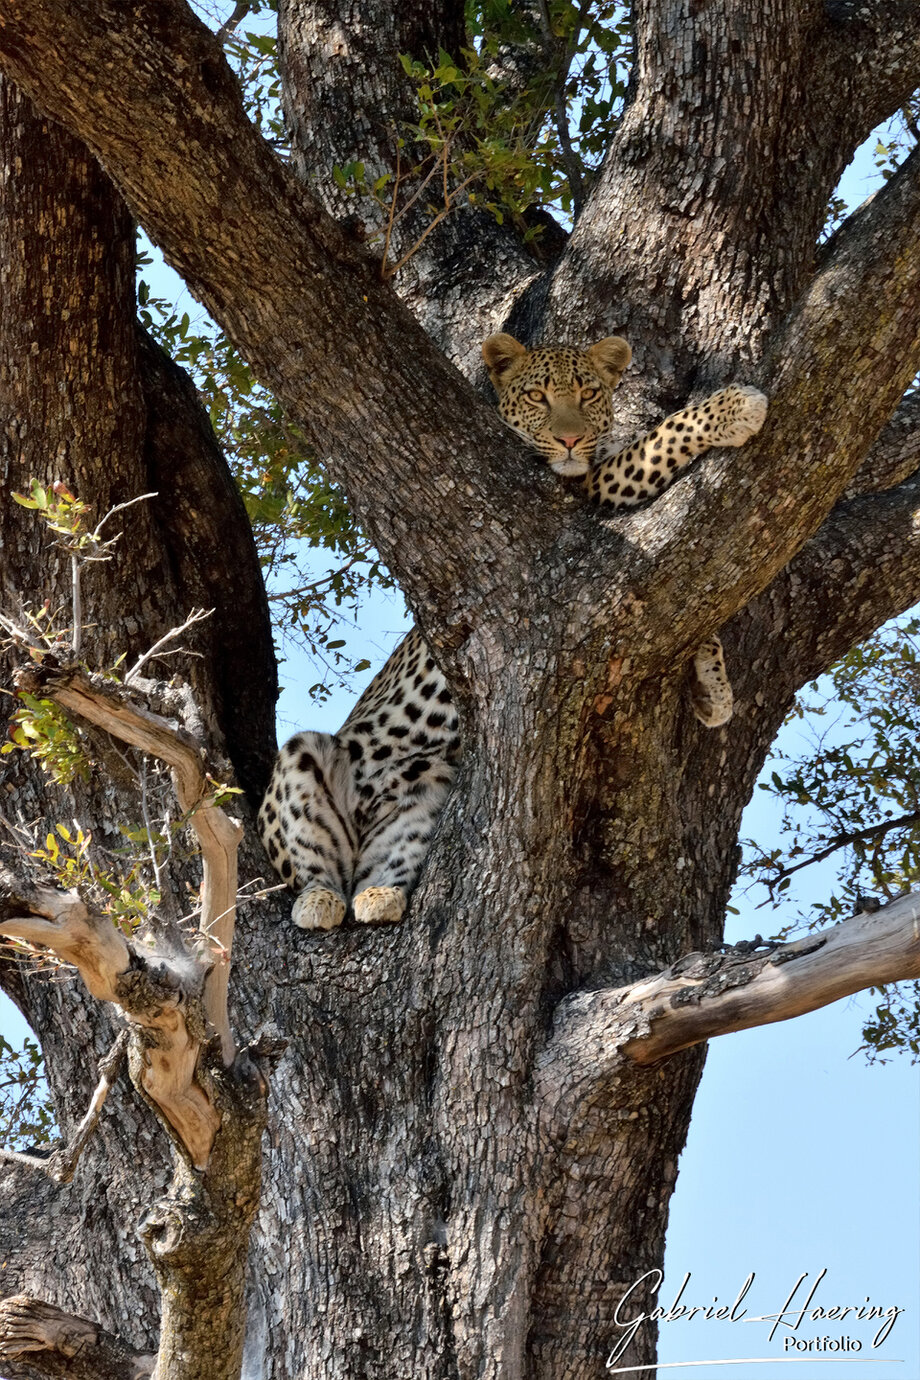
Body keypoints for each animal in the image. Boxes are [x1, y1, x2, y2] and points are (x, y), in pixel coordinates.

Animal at [258, 333, 767, 931]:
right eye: (538, 397)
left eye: (588, 393)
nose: (570, 439)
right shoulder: (588, 492)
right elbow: (656, 440)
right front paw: (734, 407)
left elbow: (697, 614)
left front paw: (714, 690)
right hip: (302, 765)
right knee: (314, 867)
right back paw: (318, 901)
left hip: (429, 783)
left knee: (377, 870)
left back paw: (379, 894)